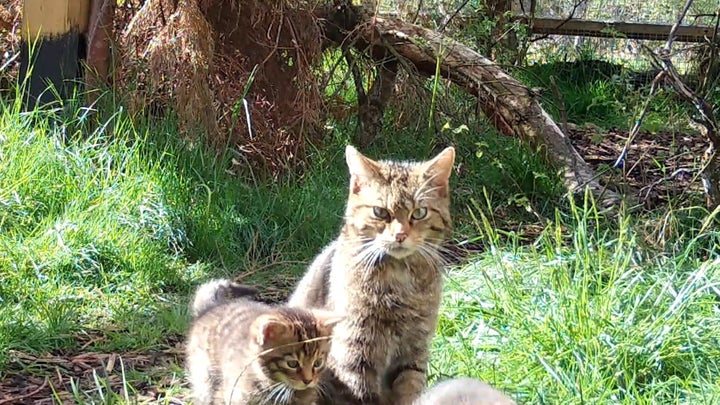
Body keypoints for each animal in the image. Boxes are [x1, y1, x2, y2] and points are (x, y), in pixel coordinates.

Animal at [288, 145, 452, 404]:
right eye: (380, 212)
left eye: (419, 213)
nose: (400, 235)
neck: (398, 280)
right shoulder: (353, 357)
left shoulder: (414, 352)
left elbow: (409, 390)